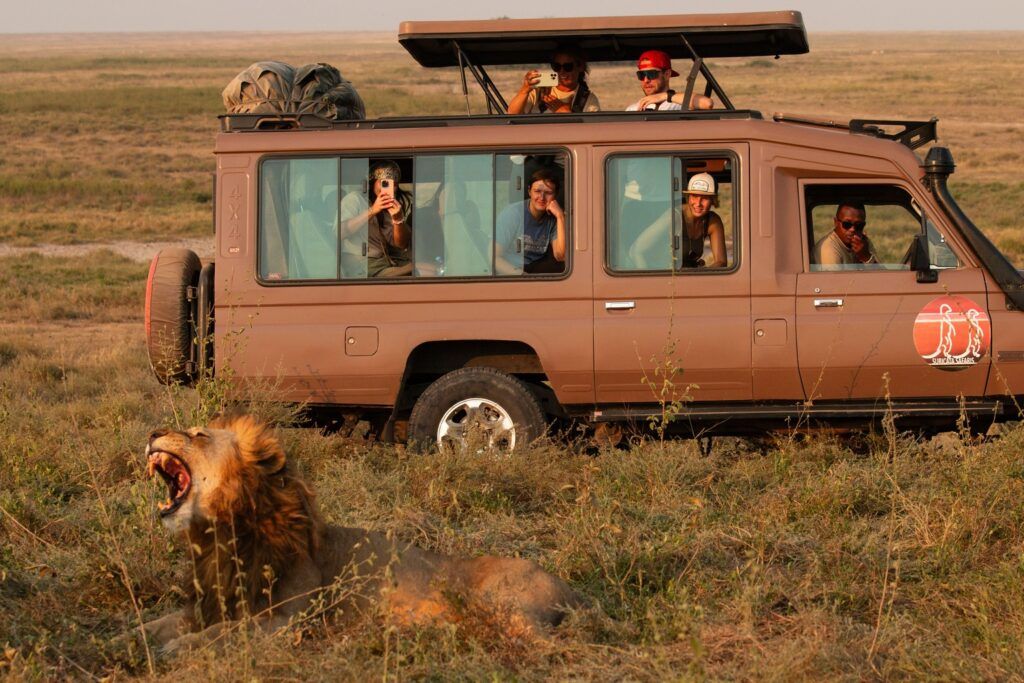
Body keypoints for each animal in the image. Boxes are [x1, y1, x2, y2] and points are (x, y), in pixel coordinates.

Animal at [139, 414, 583, 654]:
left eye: (199, 434)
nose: (152, 433)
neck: (220, 532)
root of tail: (570, 588)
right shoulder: (207, 603)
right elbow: (155, 625)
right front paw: (130, 642)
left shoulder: (286, 620)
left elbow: (227, 632)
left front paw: (181, 649)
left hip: (507, 608)